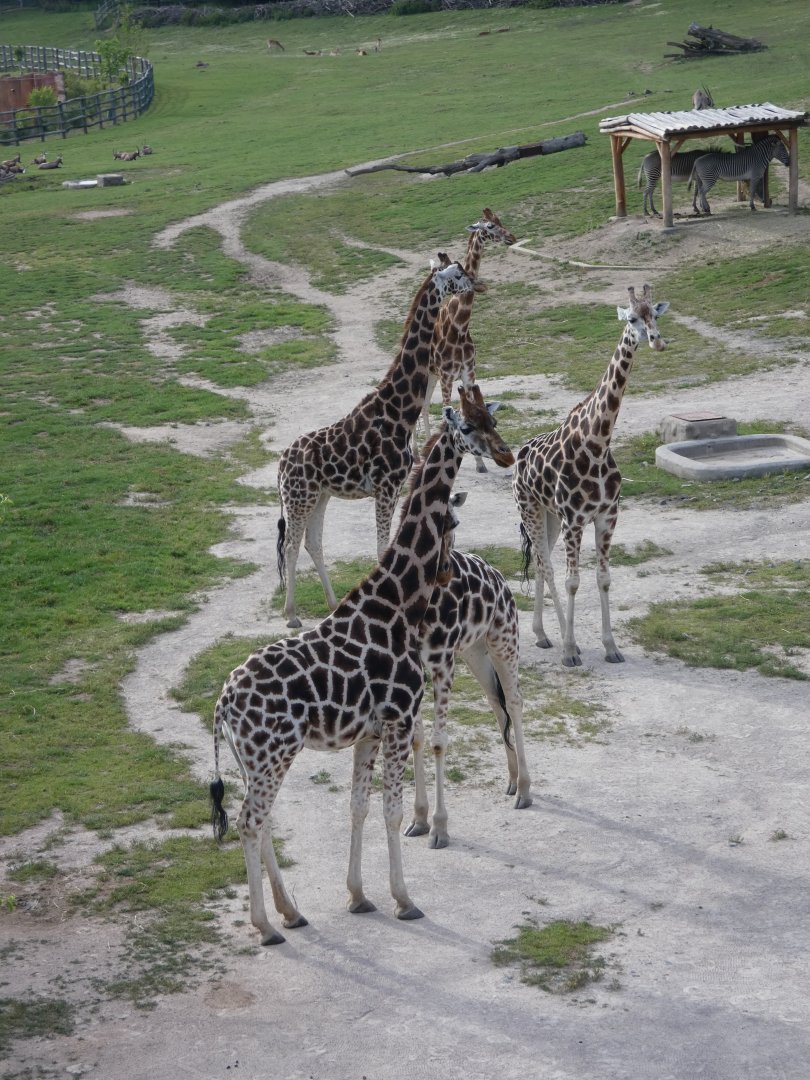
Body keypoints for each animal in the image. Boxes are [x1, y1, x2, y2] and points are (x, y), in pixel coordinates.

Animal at [209, 384, 515, 946]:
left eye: (493, 420)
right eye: (469, 427)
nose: (505, 455)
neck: (397, 599)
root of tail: (221, 705)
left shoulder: (369, 732)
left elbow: (360, 807)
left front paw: (357, 895)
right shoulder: (396, 720)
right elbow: (391, 812)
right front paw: (404, 899)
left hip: (253, 760)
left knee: (262, 821)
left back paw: (292, 911)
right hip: (272, 754)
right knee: (248, 821)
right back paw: (265, 925)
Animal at [277, 259, 484, 628]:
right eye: (457, 274)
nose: (478, 284)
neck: (399, 411)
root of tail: (280, 465)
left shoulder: (396, 487)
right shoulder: (385, 487)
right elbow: (380, 549)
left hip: (320, 496)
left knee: (313, 542)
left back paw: (332, 602)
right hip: (299, 498)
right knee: (290, 545)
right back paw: (291, 616)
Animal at [406, 478, 531, 850]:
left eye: (456, 523)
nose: (444, 572)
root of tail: (501, 580)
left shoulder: (440, 663)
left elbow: (438, 741)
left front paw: (440, 828)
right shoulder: (413, 667)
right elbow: (417, 738)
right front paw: (419, 819)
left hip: (504, 641)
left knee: (514, 702)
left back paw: (525, 790)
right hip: (475, 651)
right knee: (495, 703)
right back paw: (512, 780)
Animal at [418, 208, 516, 473]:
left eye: (501, 220)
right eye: (490, 226)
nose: (511, 237)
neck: (460, 326)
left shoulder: (468, 373)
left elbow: (472, 405)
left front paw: (480, 463)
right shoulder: (447, 376)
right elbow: (448, 412)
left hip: (433, 375)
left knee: (424, 406)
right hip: (430, 375)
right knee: (423, 407)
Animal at [512, 285, 669, 668]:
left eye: (656, 314)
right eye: (632, 318)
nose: (657, 341)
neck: (597, 443)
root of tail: (519, 456)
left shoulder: (607, 515)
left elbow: (603, 578)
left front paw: (611, 647)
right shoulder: (574, 519)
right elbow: (573, 581)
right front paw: (570, 650)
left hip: (550, 516)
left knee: (541, 563)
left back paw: (542, 635)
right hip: (531, 509)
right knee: (547, 566)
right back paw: (560, 639)